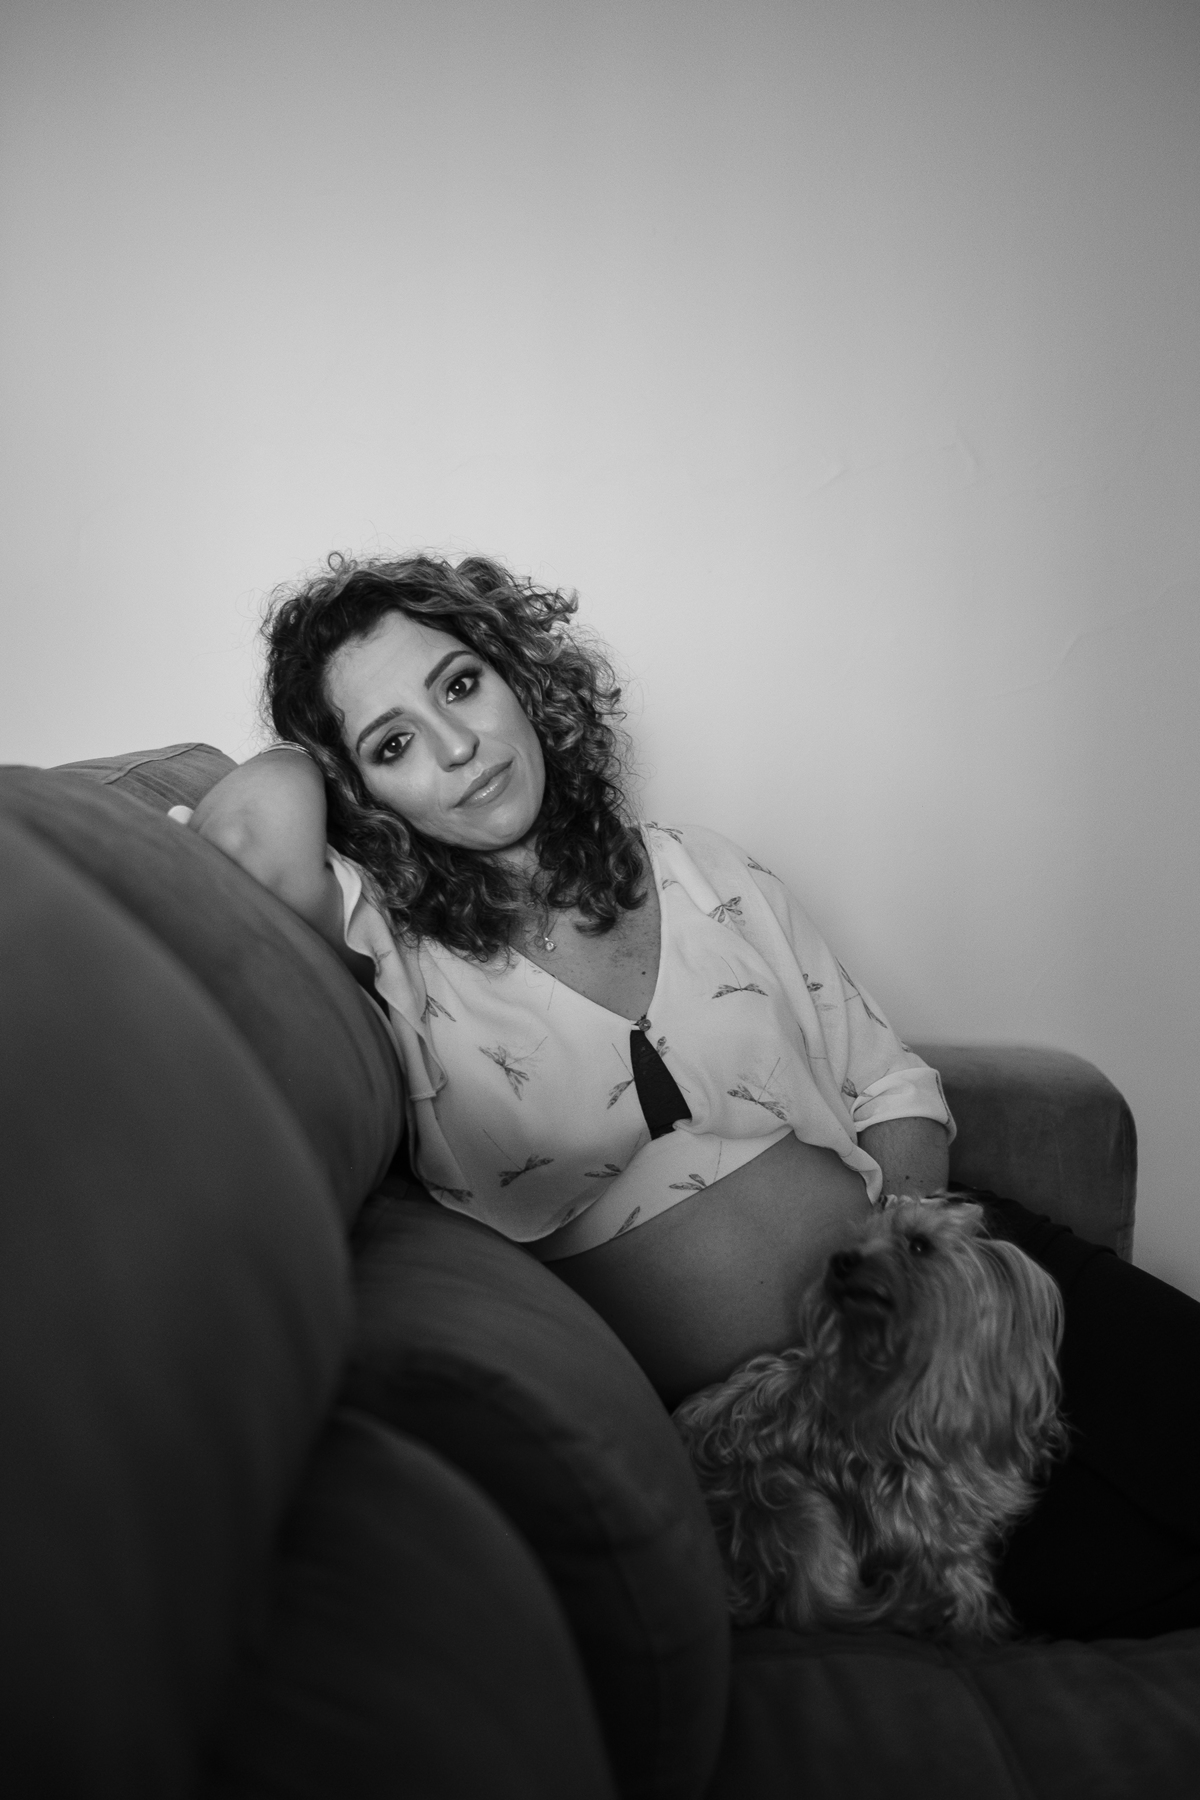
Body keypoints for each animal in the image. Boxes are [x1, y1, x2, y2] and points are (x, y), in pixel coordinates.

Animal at [673, 1195, 1066, 1640]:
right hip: (781, 1496)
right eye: (860, 1241)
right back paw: (913, 1610)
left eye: (918, 1245)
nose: (841, 1259)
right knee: (810, 1607)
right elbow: (957, 1575)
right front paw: (974, 1620)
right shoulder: (923, 1528)